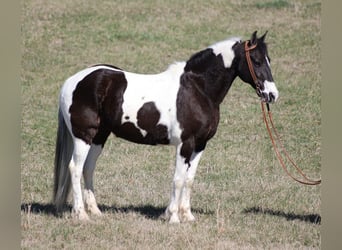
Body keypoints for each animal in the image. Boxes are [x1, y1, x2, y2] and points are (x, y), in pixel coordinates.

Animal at [52, 30, 278, 224]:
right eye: (256, 61)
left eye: (269, 60)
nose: (272, 94)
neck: (197, 89)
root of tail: (71, 81)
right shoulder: (185, 144)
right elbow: (178, 179)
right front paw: (174, 217)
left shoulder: (200, 145)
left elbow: (189, 179)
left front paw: (187, 216)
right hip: (84, 136)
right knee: (75, 168)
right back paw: (81, 214)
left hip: (99, 136)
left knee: (88, 168)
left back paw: (95, 211)